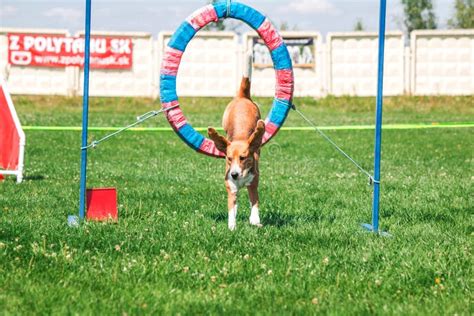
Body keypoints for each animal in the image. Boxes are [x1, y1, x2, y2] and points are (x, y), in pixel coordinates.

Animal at [209, 51, 264, 230]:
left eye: (243, 157)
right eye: (228, 158)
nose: (234, 174)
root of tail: (242, 96)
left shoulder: (253, 183)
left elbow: (254, 202)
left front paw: (255, 220)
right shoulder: (231, 188)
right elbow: (231, 208)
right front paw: (232, 226)